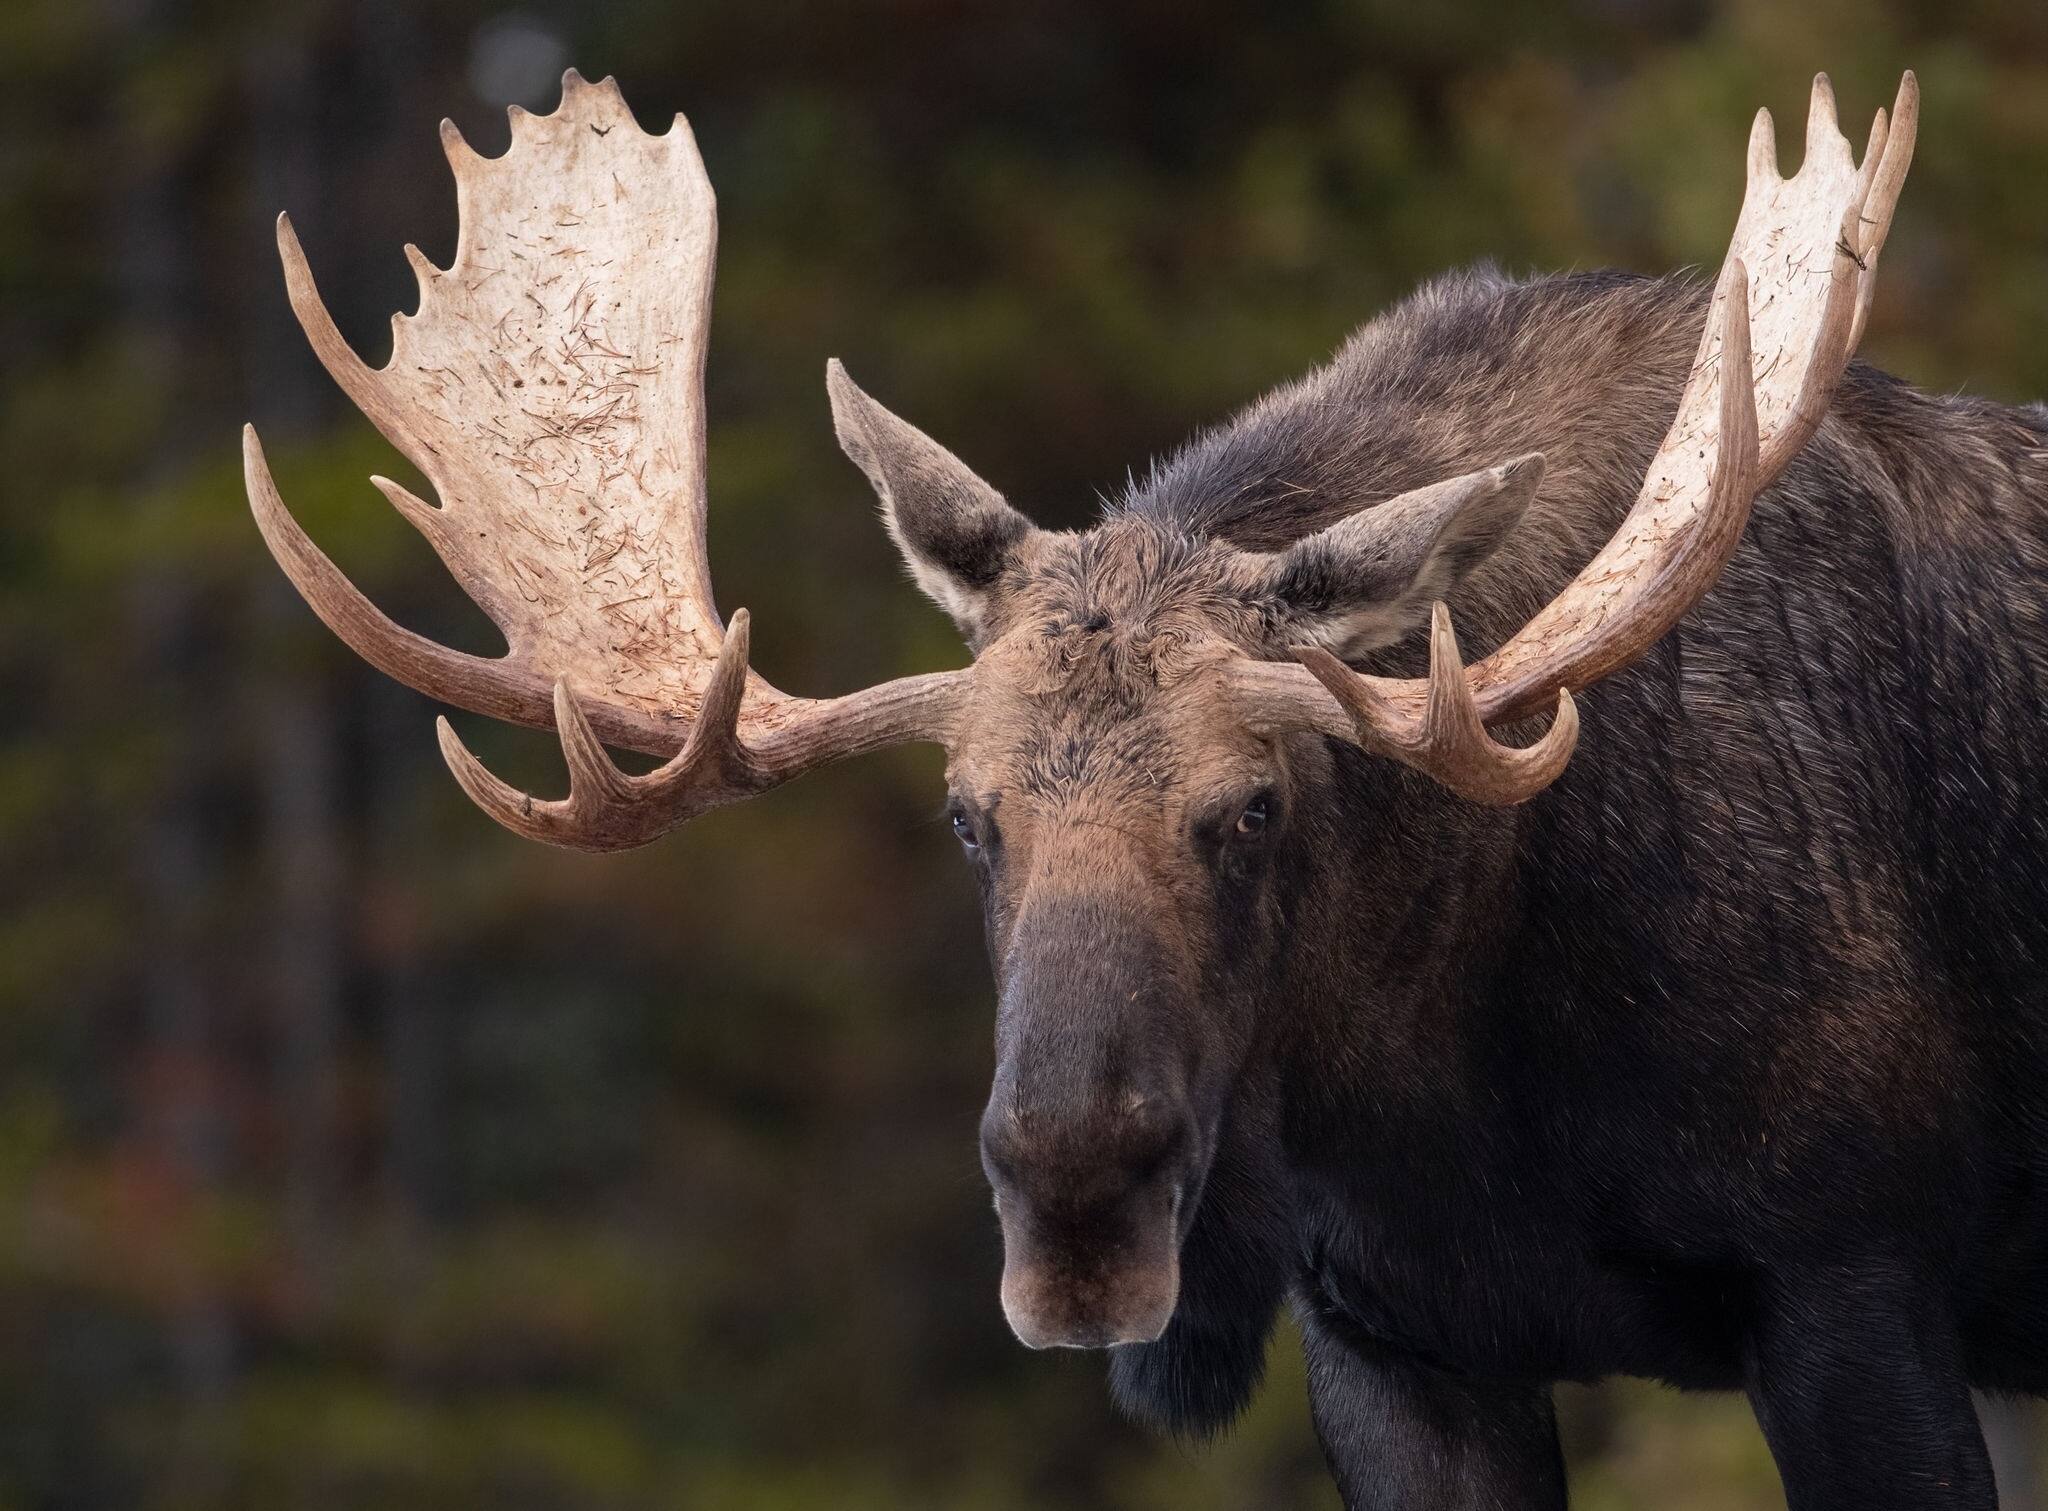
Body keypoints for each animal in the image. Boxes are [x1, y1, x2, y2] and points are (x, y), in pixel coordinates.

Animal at [245, 66, 2048, 1509]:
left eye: (1255, 805)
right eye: (967, 816)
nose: (1075, 1199)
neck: (1451, 1090)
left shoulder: (1848, 1273)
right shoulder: (1392, 1342)